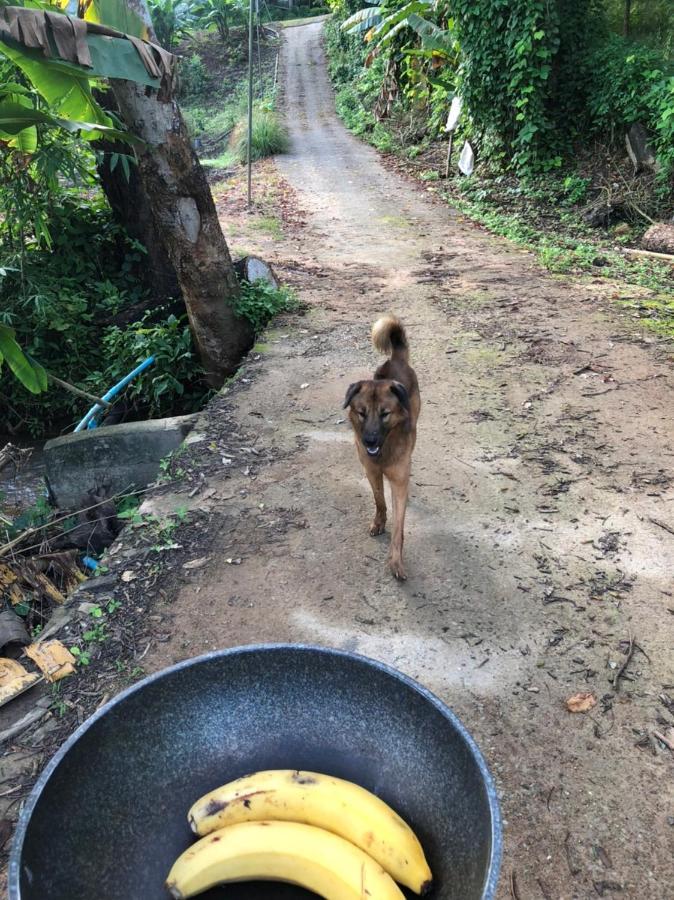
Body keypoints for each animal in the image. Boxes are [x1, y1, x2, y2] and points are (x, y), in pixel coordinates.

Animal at [344, 316, 418, 580]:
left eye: (385, 414)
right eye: (362, 413)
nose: (369, 441)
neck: (384, 452)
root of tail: (396, 359)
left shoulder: (398, 481)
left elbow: (398, 527)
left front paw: (396, 561)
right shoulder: (371, 471)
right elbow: (379, 500)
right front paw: (379, 522)